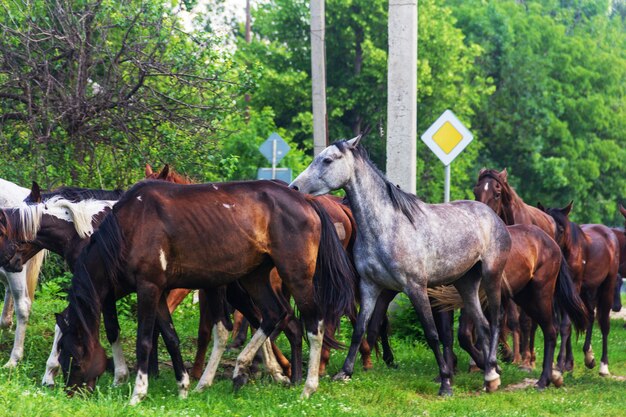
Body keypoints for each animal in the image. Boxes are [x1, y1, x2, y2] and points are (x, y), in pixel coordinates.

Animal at [55, 179, 354, 404]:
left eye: (73, 355)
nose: (71, 392)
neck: (129, 227)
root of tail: (305, 200)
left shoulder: (148, 289)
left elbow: (145, 341)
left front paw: (138, 394)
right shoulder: (159, 292)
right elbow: (171, 338)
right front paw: (183, 387)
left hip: (296, 277)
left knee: (314, 325)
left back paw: (307, 387)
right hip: (255, 277)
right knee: (273, 315)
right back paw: (238, 370)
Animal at [536, 202, 620, 374]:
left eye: (561, 229)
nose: (550, 249)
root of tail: (610, 233)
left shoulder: (573, 287)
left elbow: (566, 325)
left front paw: (560, 363)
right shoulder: (559, 294)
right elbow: (561, 324)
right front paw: (567, 362)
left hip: (606, 286)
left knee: (603, 322)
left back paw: (603, 365)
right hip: (585, 291)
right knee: (590, 315)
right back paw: (589, 356)